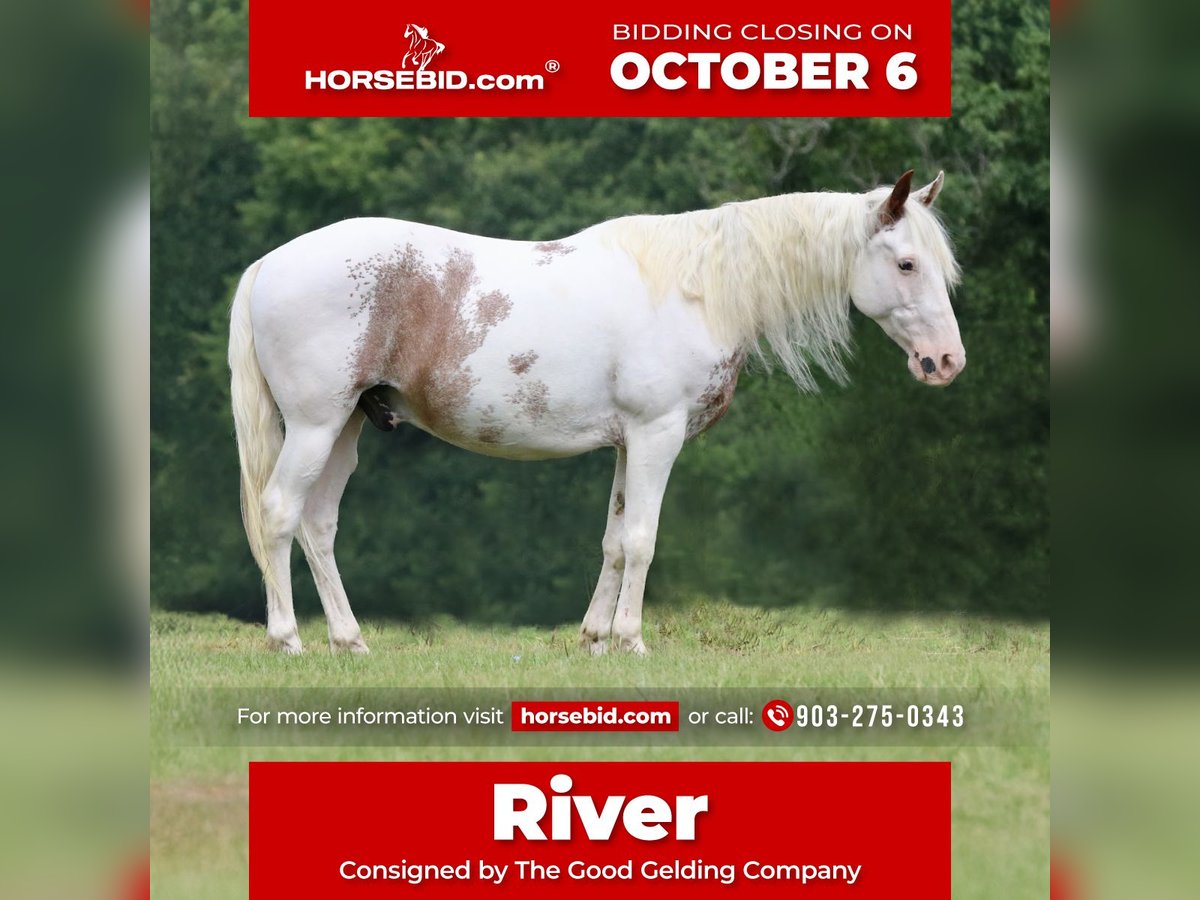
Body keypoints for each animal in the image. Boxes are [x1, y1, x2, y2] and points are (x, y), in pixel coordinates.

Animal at [228, 171, 964, 655]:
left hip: (346, 428)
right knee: (280, 514)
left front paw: (596, 639)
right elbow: (642, 539)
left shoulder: (627, 444)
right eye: (906, 263)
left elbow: (613, 540)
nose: (945, 362)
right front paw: (633, 641)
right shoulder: (658, 436)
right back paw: (288, 639)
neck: (698, 290)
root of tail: (268, 264)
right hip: (316, 427)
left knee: (319, 525)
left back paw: (350, 641)